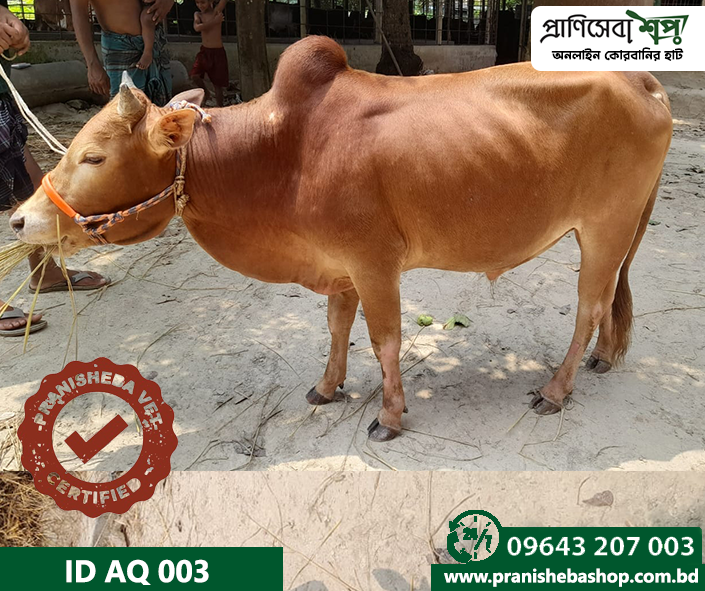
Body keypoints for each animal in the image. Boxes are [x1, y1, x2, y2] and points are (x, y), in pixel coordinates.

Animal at [10, 36, 672, 442]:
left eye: (94, 156)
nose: (20, 220)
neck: (280, 149)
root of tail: (642, 79)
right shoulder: (338, 266)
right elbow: (336, 329)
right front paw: (327, 389)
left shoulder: (373, 261)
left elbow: (384, 340)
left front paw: (390, 415)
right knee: (608, 303)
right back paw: (601, 360)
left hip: (604, 227)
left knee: (589, 306)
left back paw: (556, 390)